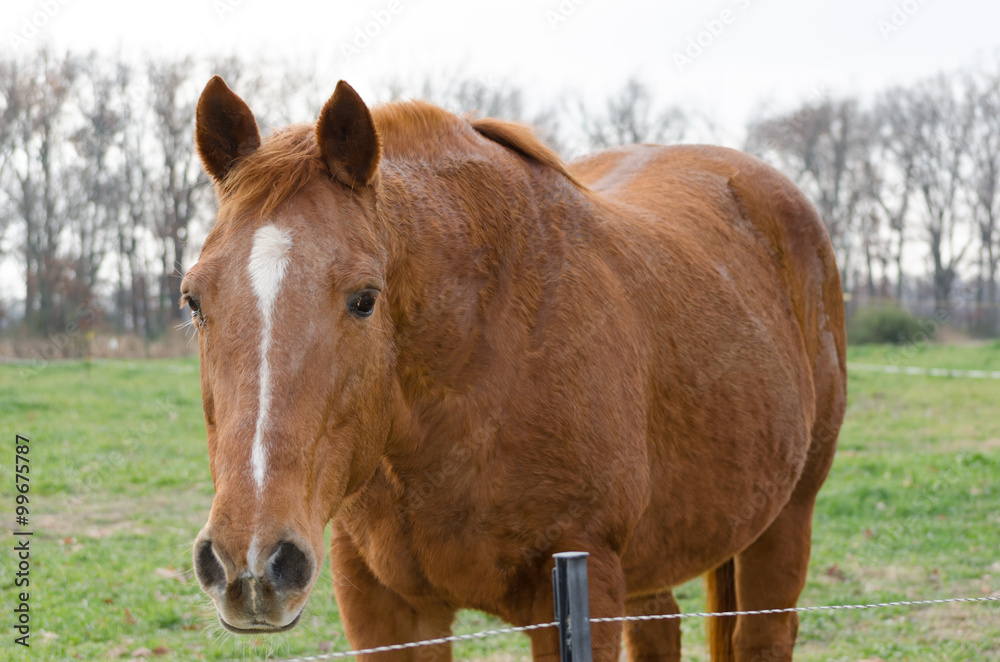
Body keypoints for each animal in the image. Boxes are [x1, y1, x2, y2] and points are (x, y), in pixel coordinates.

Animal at [186, 75, 846, 662]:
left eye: (365, 299)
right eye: (193, 300)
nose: (251, 562)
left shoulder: (580, 593)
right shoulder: (383, 607)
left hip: (786, 521)